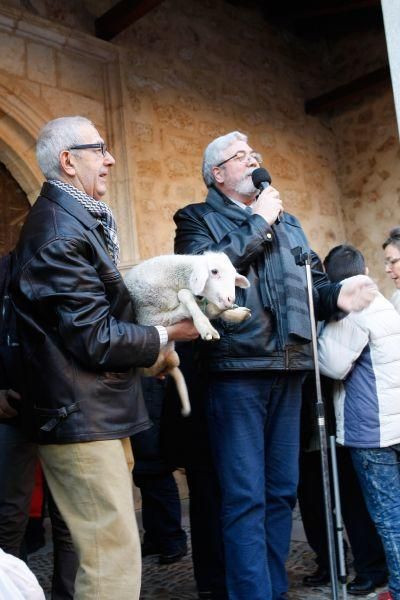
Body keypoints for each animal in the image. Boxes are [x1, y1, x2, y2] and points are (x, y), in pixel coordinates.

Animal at [125, 251, 250, 414]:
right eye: (214, 271)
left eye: (234, 275)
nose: (230, 299)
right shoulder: (150, 319)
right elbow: (186, 296)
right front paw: (205, 326)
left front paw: (235, 313)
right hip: (151, 363)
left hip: (173, 357)